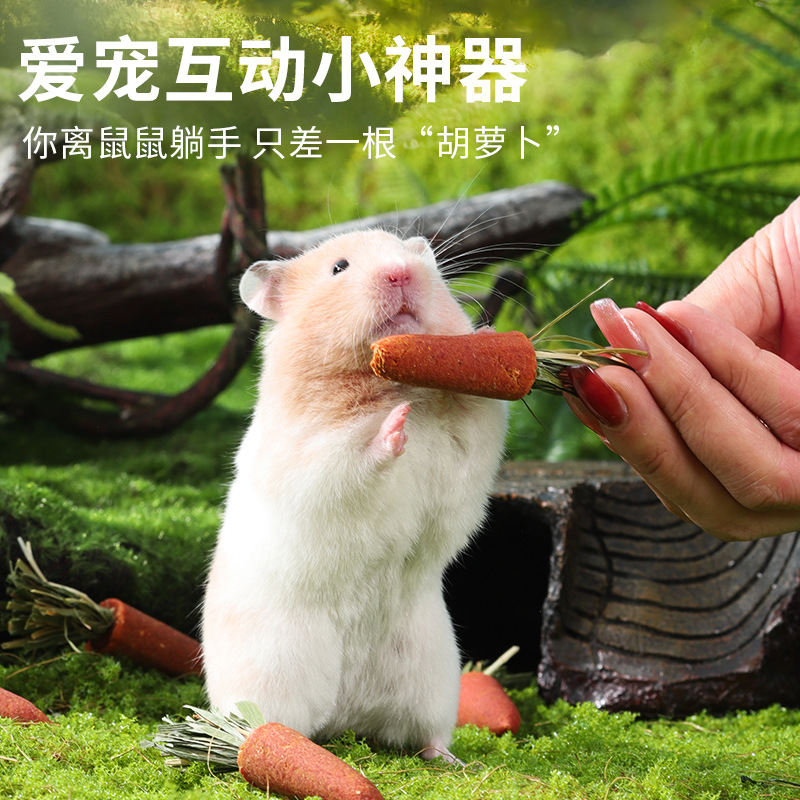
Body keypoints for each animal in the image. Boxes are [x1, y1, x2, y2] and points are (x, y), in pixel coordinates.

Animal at [201, 228, 508, 761]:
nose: (400, 273)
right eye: (339, 268)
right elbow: (355, 460)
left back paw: (451, 759)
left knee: (423, 734)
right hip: (271, 675)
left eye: (409, 253)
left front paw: (487, 339)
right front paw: (396, 425)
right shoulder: (312, 461)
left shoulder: (468, 453)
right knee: (278, 728)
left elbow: (479, 422)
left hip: (433, 678)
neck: (398, 383)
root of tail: (344, 716)